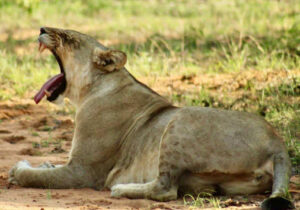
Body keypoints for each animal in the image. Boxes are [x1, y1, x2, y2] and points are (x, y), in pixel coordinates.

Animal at [8, 27, 294, 210]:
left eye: (68, 38)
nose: (42, 28)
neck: (94, 89)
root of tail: (277, 142)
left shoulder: (83, 171)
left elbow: (38, 178)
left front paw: (19, 170)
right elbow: (48, 168)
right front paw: (43, 164)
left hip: (180, 120)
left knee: (165, 188)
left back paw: (121, 189)